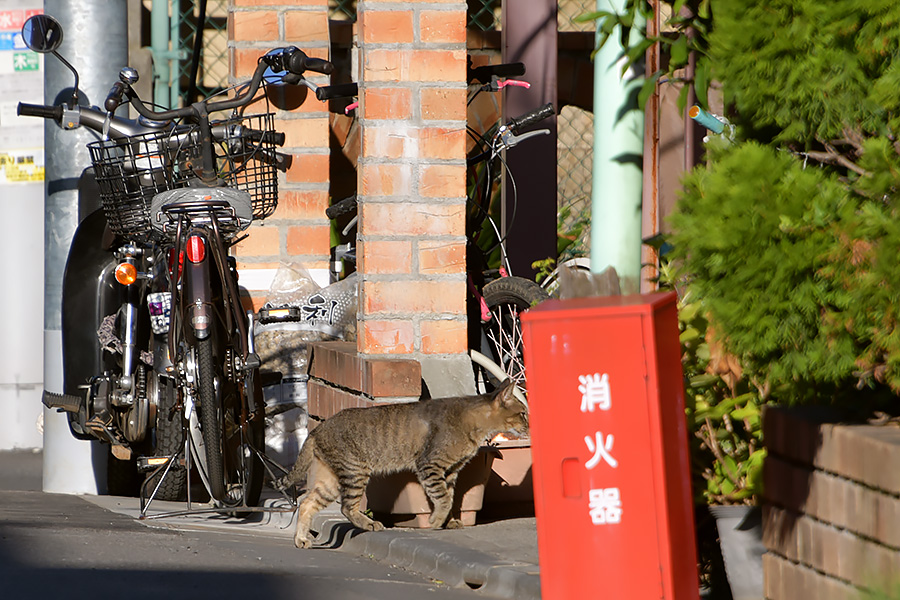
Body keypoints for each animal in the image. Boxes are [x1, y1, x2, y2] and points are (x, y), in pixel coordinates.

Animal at [274, 380, 528, 548]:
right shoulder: (429, 465)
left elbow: (449, 497)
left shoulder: (451, 471)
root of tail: (318, 429)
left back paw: (301, 539)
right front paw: (436, 520)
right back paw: (369, 524)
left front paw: (449, 521)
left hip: (330, 480)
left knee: (307, 503)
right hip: (355, 471)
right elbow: (444, 498)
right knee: (346, 507)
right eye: (523, 413)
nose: (529, 424)